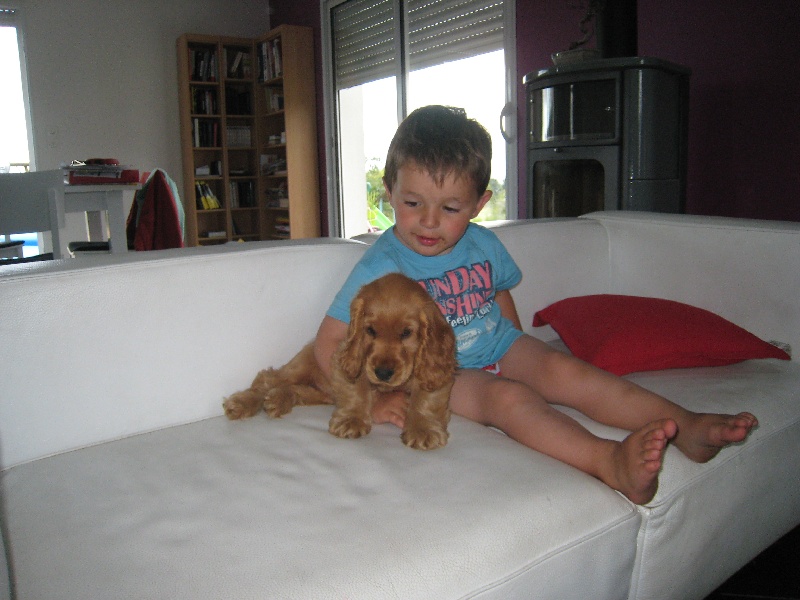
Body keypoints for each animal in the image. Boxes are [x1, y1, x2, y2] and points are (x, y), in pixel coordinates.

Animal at [223, 272, 457, 450]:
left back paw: (277, 400)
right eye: (370, 330)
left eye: (407, 333)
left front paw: (423, 429)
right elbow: (357, 389)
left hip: (320, 394)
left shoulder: (436, 370)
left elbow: (426, 398)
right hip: (299, 367)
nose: (383, 373)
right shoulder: (346, 359)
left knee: (295, 390)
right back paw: (242, 403)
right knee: (268, 379)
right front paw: (351, 420)